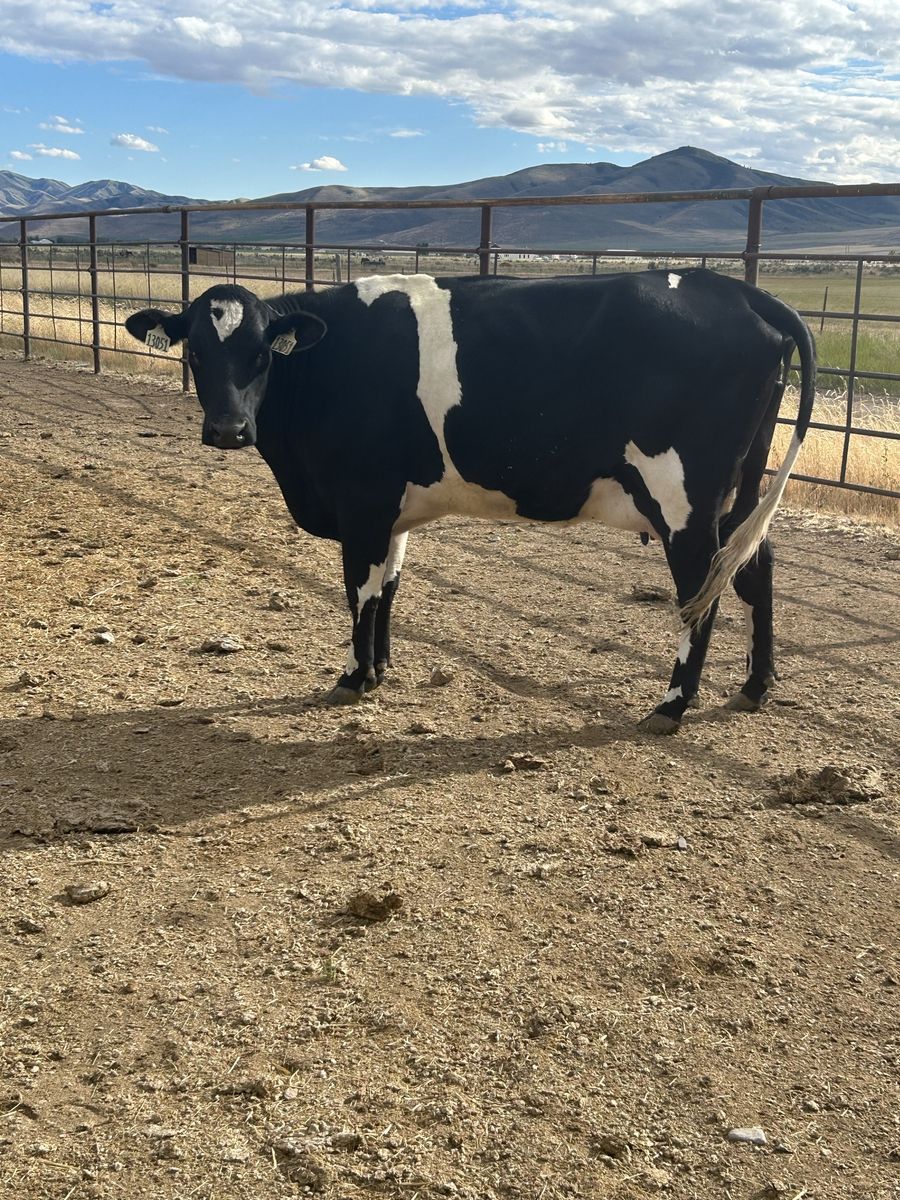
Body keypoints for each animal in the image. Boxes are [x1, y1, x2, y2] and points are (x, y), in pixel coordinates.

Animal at [125, 269, 815, 733]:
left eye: (261, 352)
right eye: (194, 350)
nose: (227, 430)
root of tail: (731, 286)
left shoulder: (362, 500)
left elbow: (360, 590)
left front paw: (354, 677)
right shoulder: (391, 509)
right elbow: (389, 587)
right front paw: (380, 667)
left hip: (684, 500)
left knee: (702, 589)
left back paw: (672, 705)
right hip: (739, 492)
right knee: (755, 567)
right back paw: (754, 685)